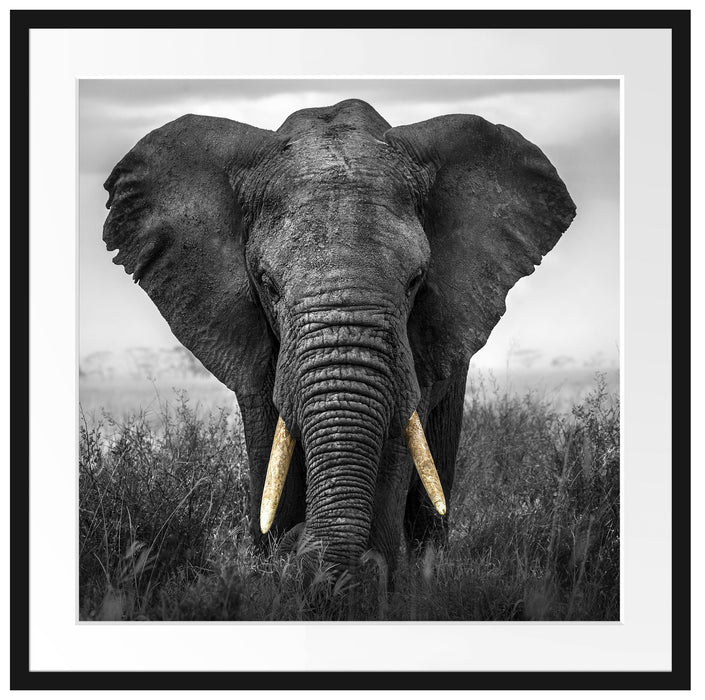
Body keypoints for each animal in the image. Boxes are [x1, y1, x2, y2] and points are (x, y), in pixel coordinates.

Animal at [103, 98, 575, 578]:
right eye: (268, 284)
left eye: (415, 281)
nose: (298, 546)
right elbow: (269, 440)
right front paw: (276, 566)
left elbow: (397, 437)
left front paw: (368, 579)